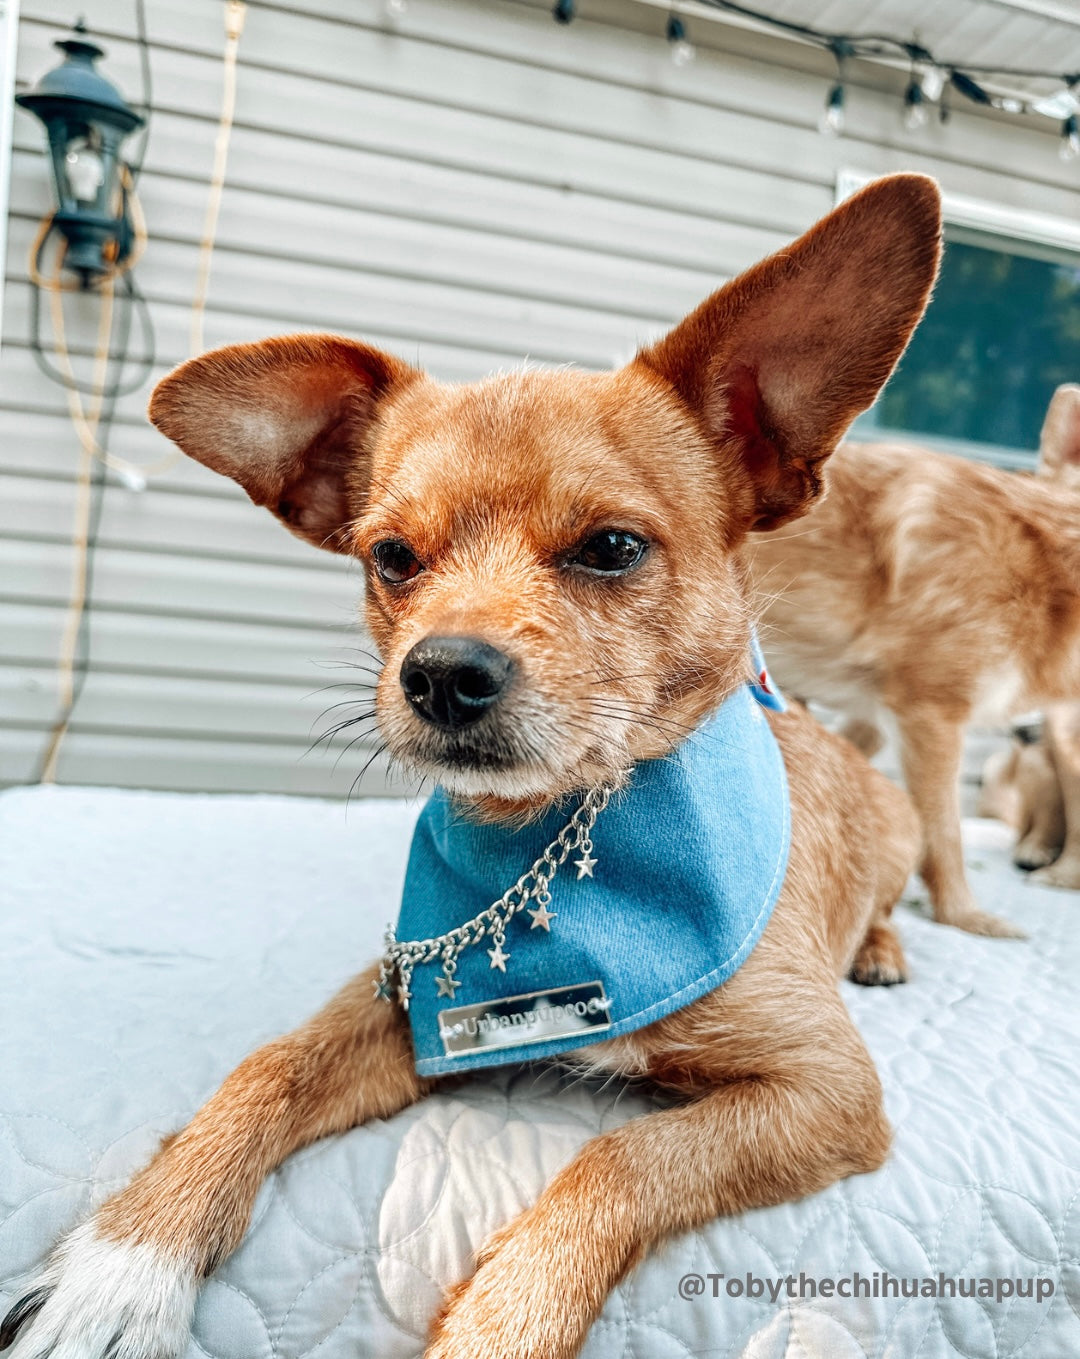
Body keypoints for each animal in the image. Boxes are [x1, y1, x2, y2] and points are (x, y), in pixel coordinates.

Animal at [0, 175, 940, 1359]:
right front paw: (128, 1258)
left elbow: (622, 1156)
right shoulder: (397, 1008)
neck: (557, 846)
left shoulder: (826, 1089)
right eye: (391, 558)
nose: (441, 673)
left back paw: (884, 947)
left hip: (898, 838)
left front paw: (506, 1316)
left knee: (891, 900)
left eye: (613, 549)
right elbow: (268, 1066)